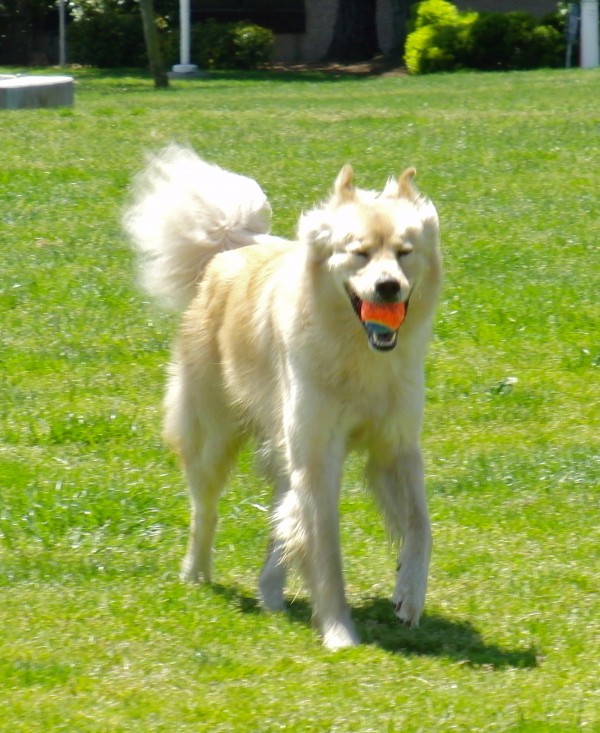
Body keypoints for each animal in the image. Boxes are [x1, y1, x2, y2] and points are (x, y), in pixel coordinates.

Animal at [124, 146, 442, 648]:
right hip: (214, 439)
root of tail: (235, 247)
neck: (357, 353)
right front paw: (339, 633)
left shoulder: (395, 448)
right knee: (205, 510)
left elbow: (419, 525)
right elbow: (326, 552)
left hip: (281, 448)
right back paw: (196, 575)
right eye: (359, 253)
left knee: (282, 515)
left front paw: (408, 595)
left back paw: (271, 591)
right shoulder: (317, 456)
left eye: (404, 253)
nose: (388, 286)